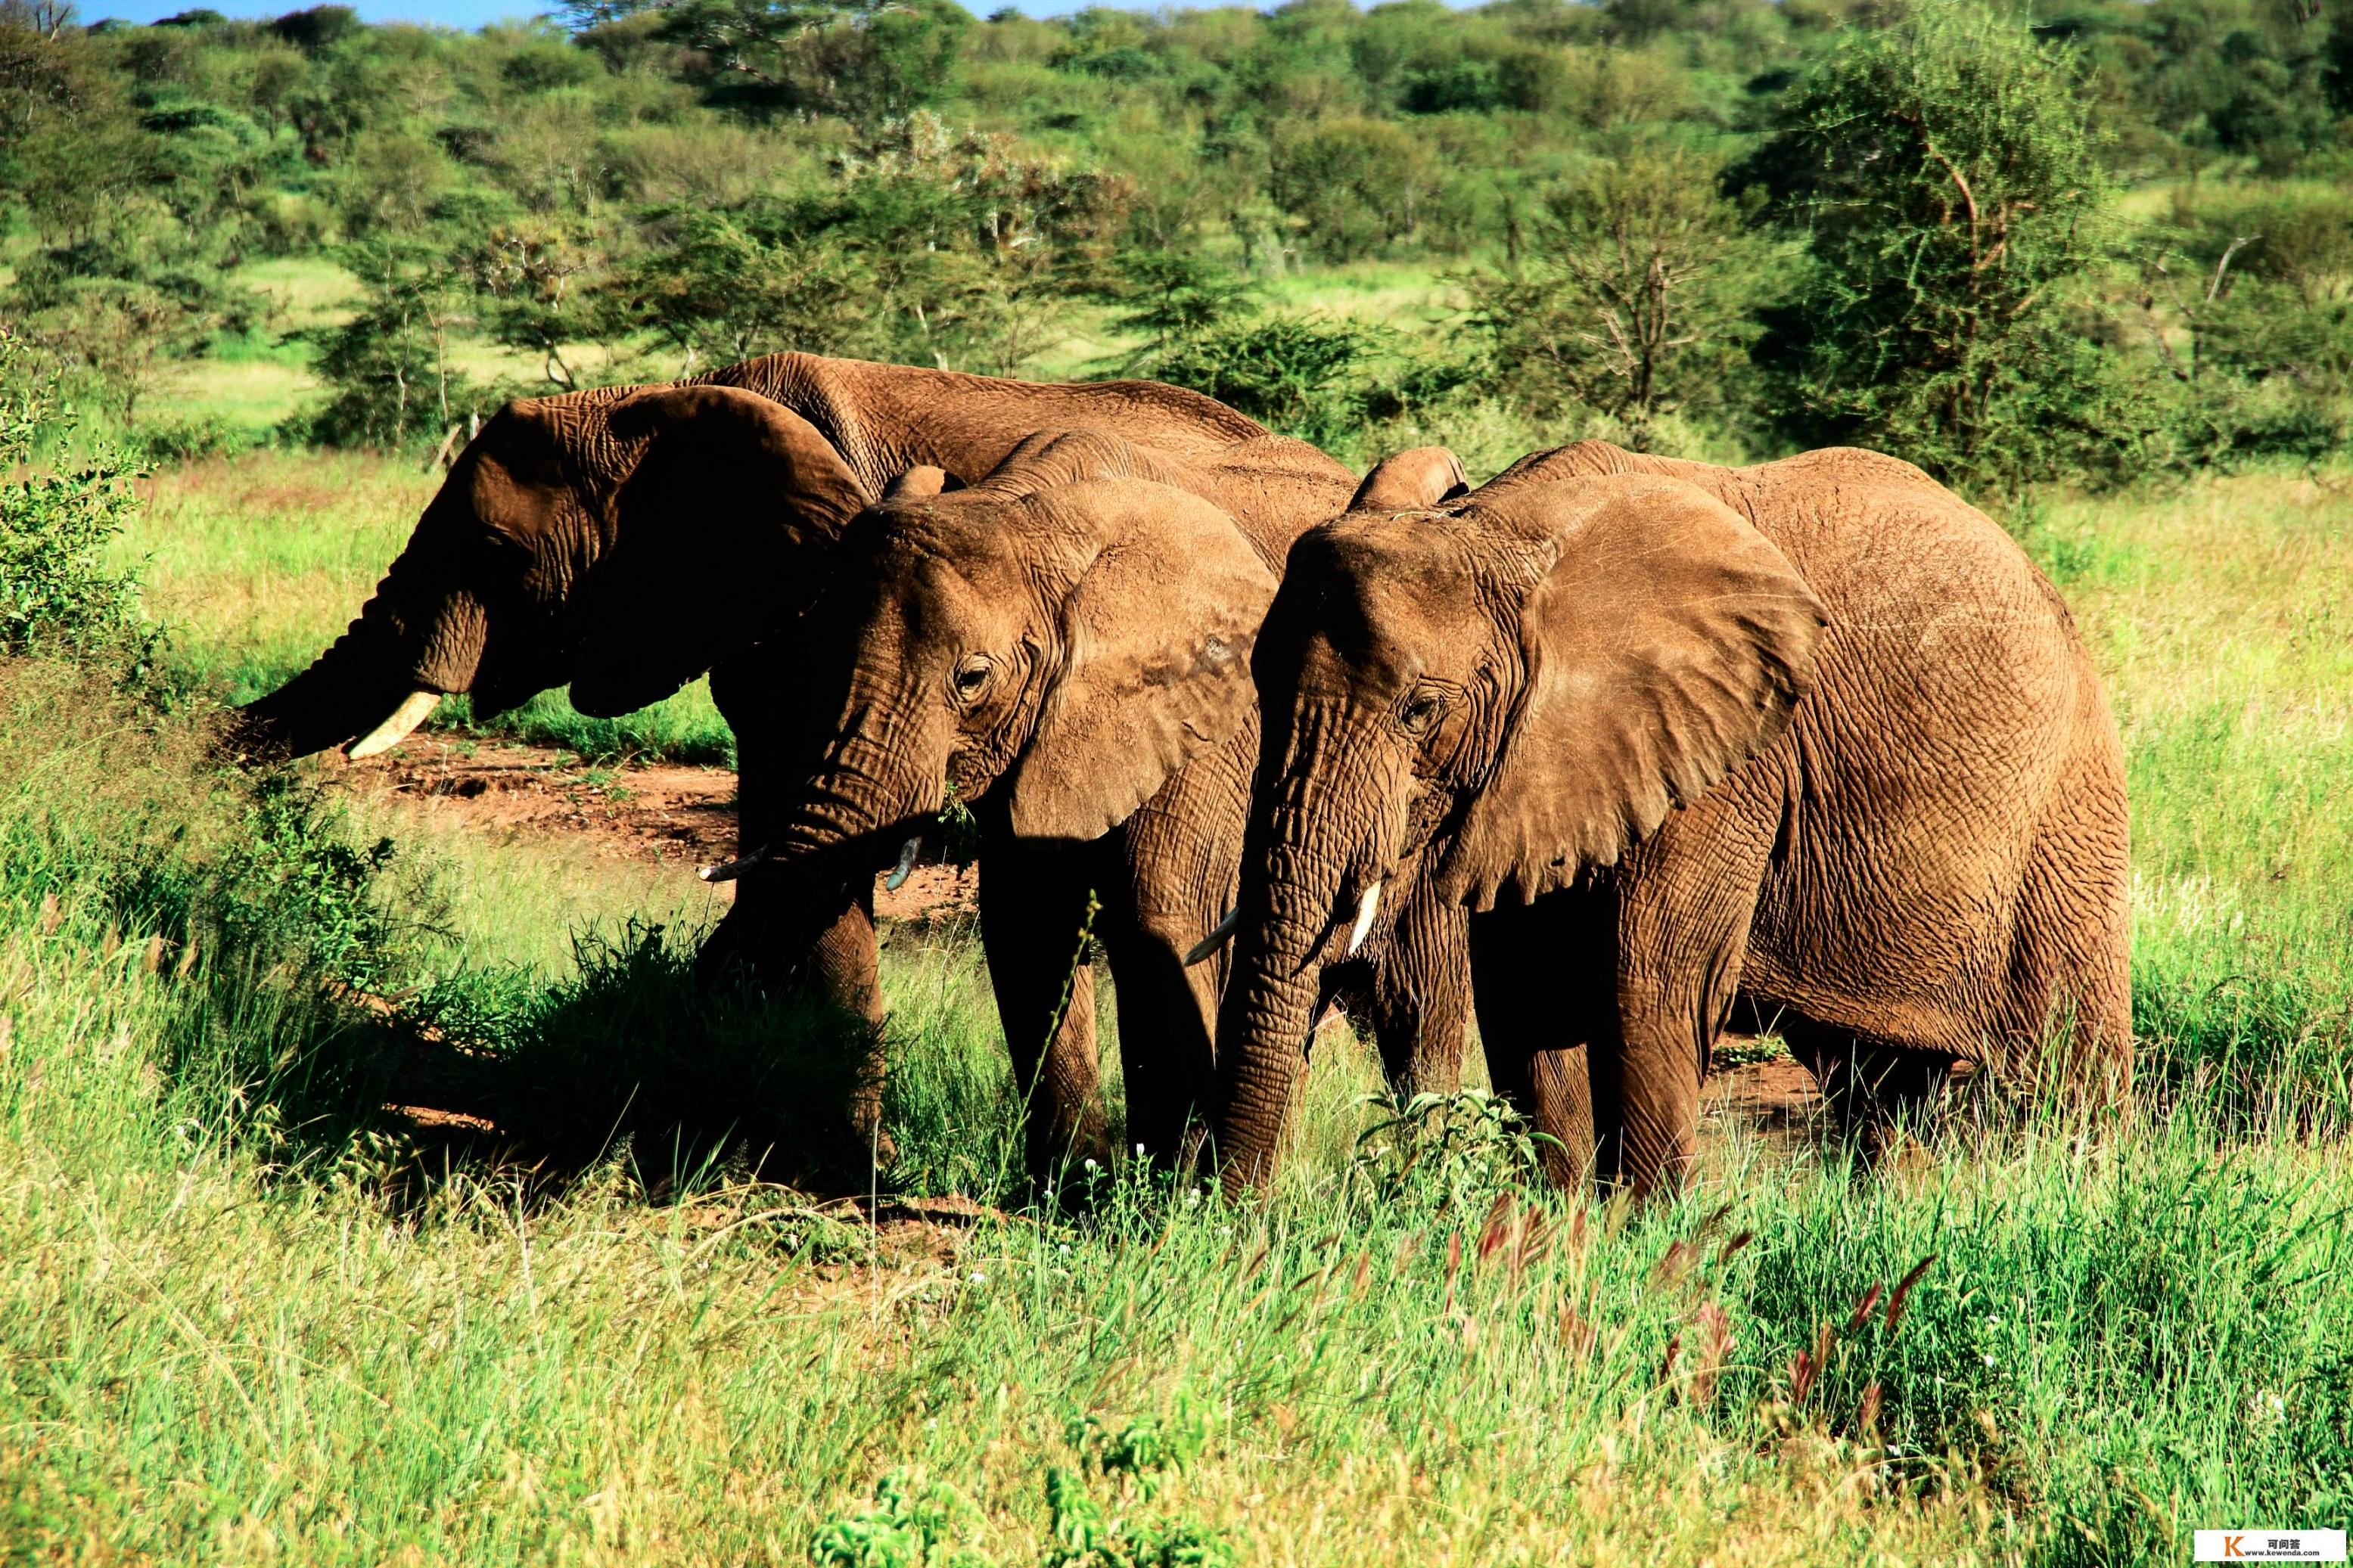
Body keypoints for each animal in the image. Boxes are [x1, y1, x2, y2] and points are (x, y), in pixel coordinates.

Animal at [724, 423, 1478, 1185]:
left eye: (972, 679)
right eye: (819, 657)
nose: (873, 1161)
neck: (1029, 510)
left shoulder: (1202, 724)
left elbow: (1159, 920)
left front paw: (1159, 1190)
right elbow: (1029, 921)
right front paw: (1072, 1184)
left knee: (1418, 1009)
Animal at [1204, 442, 2146, 1203]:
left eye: (1419, 710)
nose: (1236, 1220)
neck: (1501, 536)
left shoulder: (1728, 757)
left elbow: (1648, 991)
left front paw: (1647, 1240)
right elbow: (1523, 999)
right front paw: (1562, 1231)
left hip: (2066, 806)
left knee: (2066, 1065)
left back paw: (2079, 1203)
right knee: (1879, 1086)